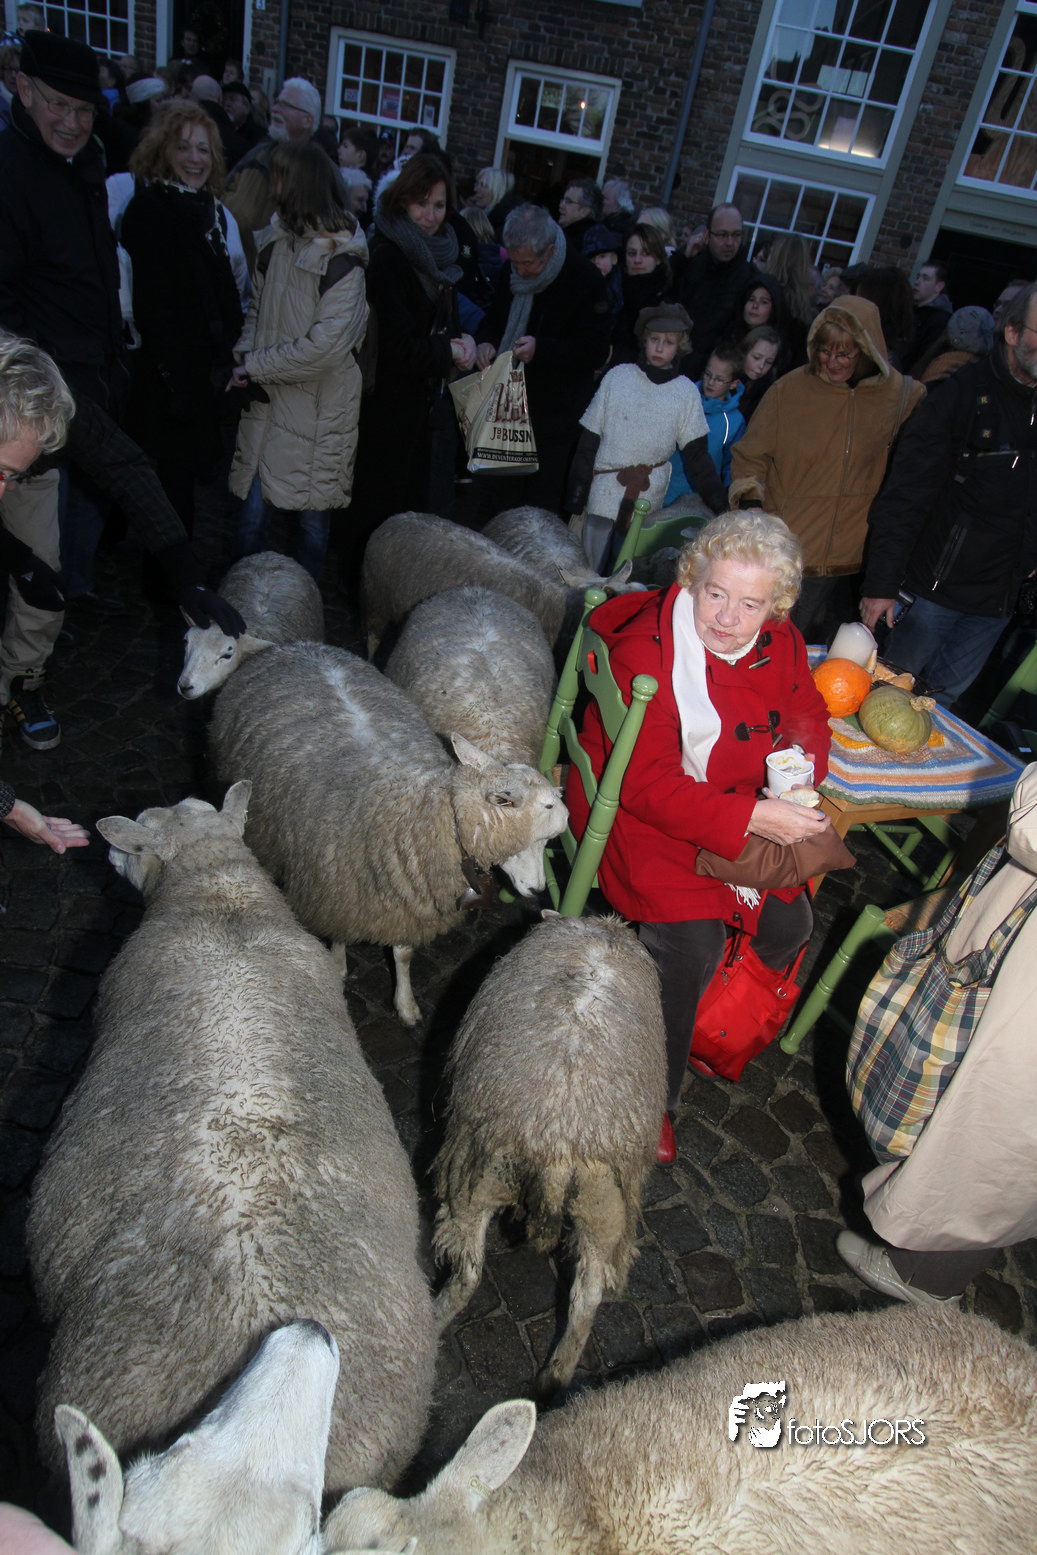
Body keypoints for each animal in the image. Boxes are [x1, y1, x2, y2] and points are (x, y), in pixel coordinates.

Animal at [208, 642, 567, 1024]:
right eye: (532, 839)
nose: (538, 890)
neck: (419, 813)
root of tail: (292, 647)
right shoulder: (338, 883)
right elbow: (340, 929)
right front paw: (337, 966)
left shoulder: (406, 893)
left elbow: (403, 953)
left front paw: (405, 1005)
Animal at [432, 913, 666, 1393]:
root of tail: (559, 1144)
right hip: (604, 1208)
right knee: (586, 1296)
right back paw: (554, 1378)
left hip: (473, 1174)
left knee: (467, 1274)